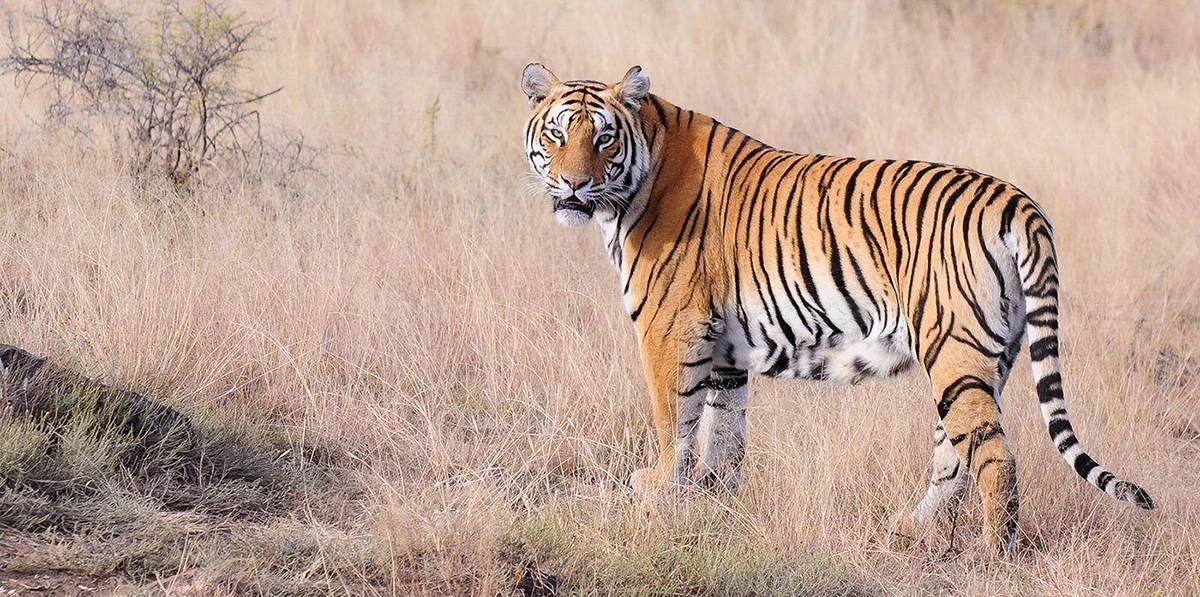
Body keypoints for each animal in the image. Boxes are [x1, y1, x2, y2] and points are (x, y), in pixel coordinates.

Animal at [520, 63, 1154, 554]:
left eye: (603, 139)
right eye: (557, 135)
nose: (573, 185)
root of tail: (1017, 201)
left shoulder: (670, 330)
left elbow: (672, 418)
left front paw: (656, 491)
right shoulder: (722, 349)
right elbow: (723, 435)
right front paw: (714, 506)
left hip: (954, 350)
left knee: (995, 457)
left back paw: (996, 554)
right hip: (987, 355)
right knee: (955, 455)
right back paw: (907, 528)